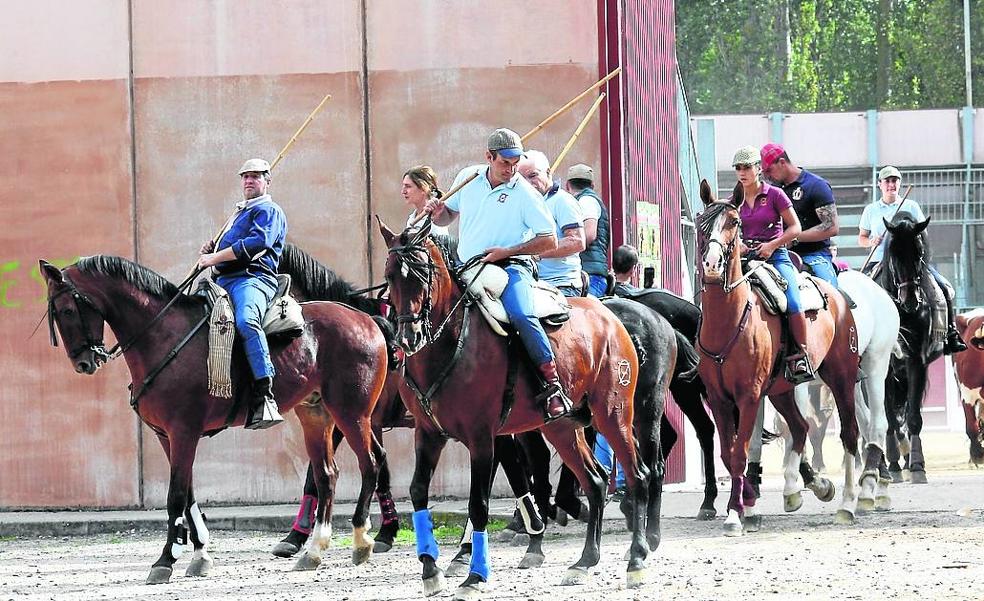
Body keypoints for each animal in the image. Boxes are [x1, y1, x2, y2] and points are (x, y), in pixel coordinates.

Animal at [41, 256, 388, 580]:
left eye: (67, 310)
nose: (84, 363)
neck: (163, 337)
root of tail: (365, 319)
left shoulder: (183, 432)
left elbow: (176, 496)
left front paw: (165, 561)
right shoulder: (167, 436)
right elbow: (189, 495)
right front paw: (199, 555)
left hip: (352, 413)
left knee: (370, 462)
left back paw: (361, 540)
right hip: (316, 415)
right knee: (326, 475)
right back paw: (314, 551)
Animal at [380, 219, 656, 596]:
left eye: (423, 273)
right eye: (391, 275)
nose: (409, 337)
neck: (453, 341)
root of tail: (610, 317)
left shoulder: (482, 438)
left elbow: (478, 505)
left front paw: (475, 575)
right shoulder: (428, 433)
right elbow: (418, 492)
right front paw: (430, 569)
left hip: (613, 414)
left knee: (638, 474)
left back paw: (637, 559)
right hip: (560, 426)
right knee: (595, 481)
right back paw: (584, 562)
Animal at [692, 182, 860, 536]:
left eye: (734, 222)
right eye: (701, 222)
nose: (712, 264)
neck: (729, 321)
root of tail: (837, 295)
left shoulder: (749, 396)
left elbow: (740, 454)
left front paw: (734, 515)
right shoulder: (719, 399)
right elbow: (728, 454)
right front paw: (744, 508)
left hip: (841, 379)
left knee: (849, 434)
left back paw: (847, 505)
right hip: (781, 390)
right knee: (800, 427)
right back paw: (799, 490)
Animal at [748, 270, 904, 516]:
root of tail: (880, 293)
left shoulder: (799, 385)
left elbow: (795, 430)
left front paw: (808, 484)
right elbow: (756, 439)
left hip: (876, 363)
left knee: (877, 423)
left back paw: (869, 490)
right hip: (852, 381)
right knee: (864, 422)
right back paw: (876, 487)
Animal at [876, 213, 944, 480]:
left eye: (919, 252)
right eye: (894, 254)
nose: (910, 301)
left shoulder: (915, 360)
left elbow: (913, 416)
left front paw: (917, 465)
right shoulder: (883, 369)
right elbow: (888, 418)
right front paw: (892, 464)